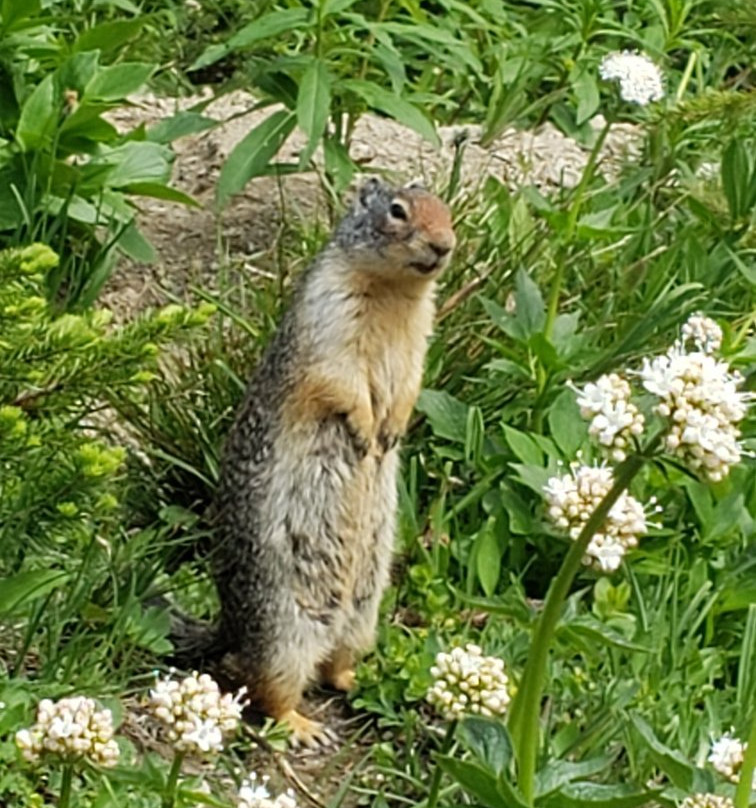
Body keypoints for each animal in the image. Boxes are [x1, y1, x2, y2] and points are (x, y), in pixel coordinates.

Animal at [210, 177, 454, 744]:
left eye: (447, 210)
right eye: (397, 211)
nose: (445, 246)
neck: (396, 293)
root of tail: (227, 630)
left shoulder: (419, 339)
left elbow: (410, 383)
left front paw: (392, 430)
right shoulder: (330, 323)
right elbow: (340, 381)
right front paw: (366, 432)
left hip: (363, 615)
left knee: (332, 668)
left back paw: (360, 675)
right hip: (283, 631)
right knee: (268, 688)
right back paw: (303, 725)